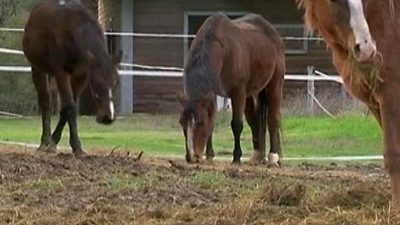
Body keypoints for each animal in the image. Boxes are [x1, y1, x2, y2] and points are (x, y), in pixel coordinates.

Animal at [23, 0, 120, 156]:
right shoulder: (61, 73)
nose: (107, 117)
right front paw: (76, 147)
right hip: (38, 69)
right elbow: (70, 107)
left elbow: (67, 107)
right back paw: (44, 142)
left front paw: (55, 142)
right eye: (96, 83)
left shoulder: (81, 76)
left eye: (116, 83)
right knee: (45, 101)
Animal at [177, 13, 284, 166]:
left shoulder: (238, 91)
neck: (222, 50)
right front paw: (209, 155)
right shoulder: (212, 93)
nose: (191, 157)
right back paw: (258, 155)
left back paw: (273, 157)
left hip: (274, 85)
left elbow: (236, 124)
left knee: (272, 119)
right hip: (249, 94)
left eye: (200, 122)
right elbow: (213, 120)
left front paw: (236, 158)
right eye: (181, 122)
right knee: (255, 120)